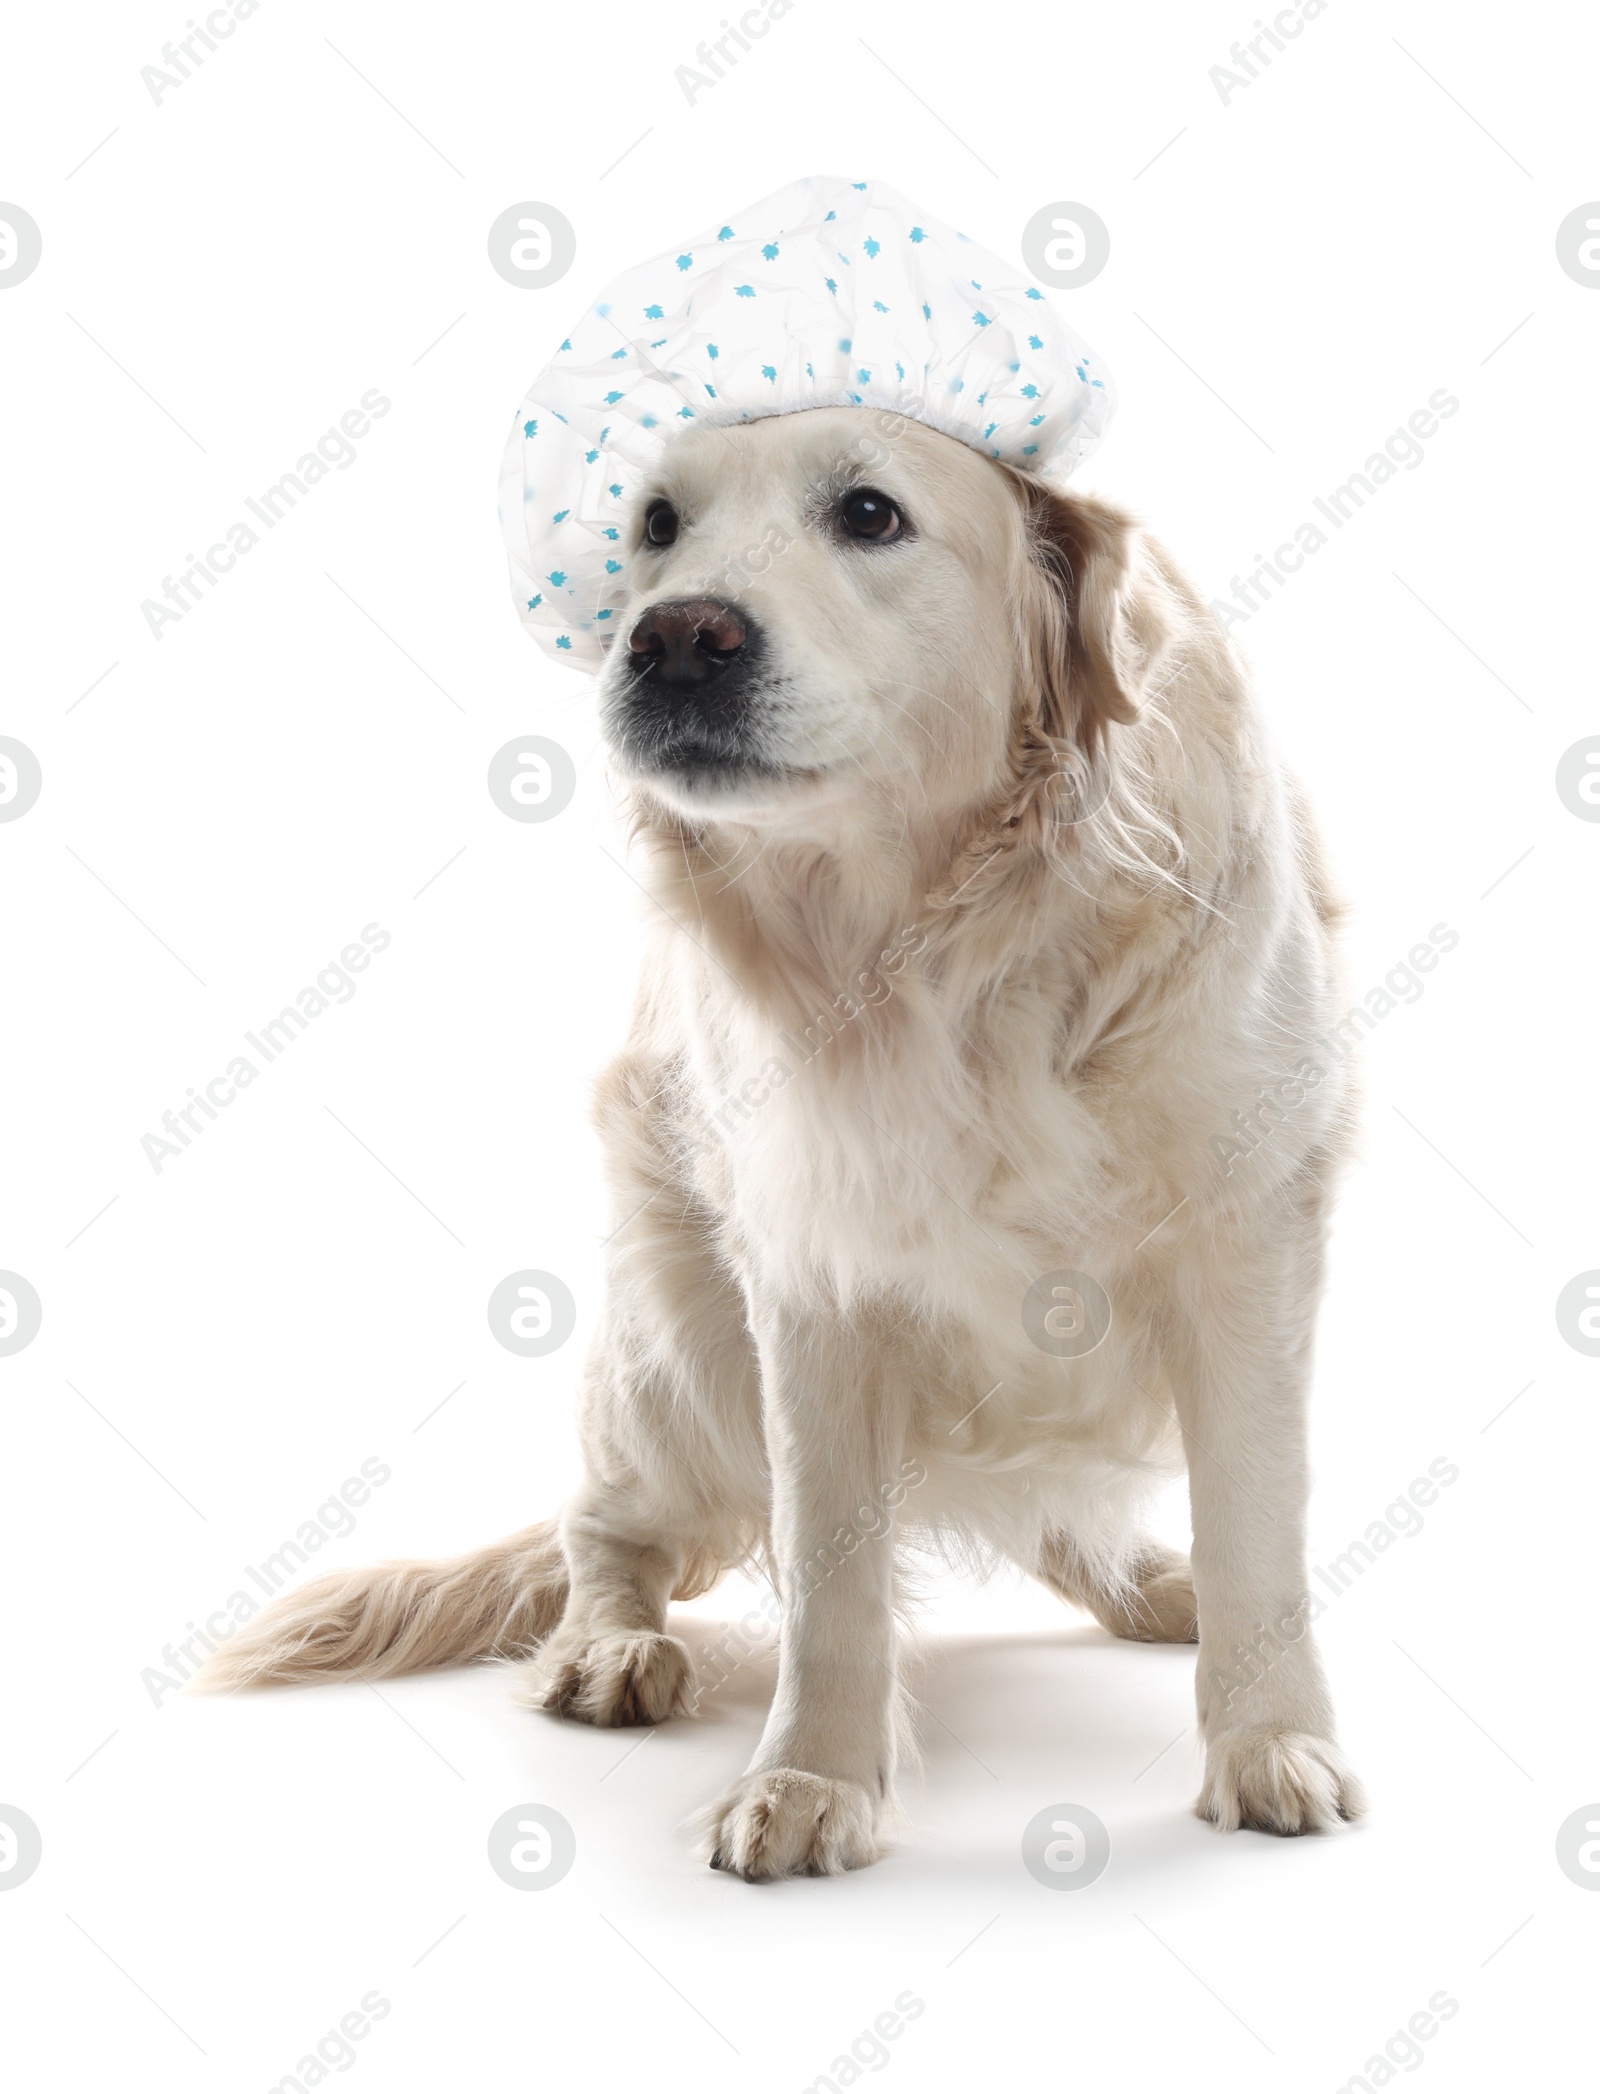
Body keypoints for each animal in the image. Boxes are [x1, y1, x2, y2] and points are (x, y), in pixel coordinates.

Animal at [190, 399, 1365, 1876]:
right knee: (601, 1527)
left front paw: (1271, 1739)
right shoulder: (813, 1274)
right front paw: (811, 1777)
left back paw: (1160, 1578)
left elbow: (1258, 1525)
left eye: (869, 512)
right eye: (654, 525)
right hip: (680, 1360)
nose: (677, 638)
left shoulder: (1249, 1238)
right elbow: (831, 1569)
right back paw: (611, 1649)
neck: (945, 939)